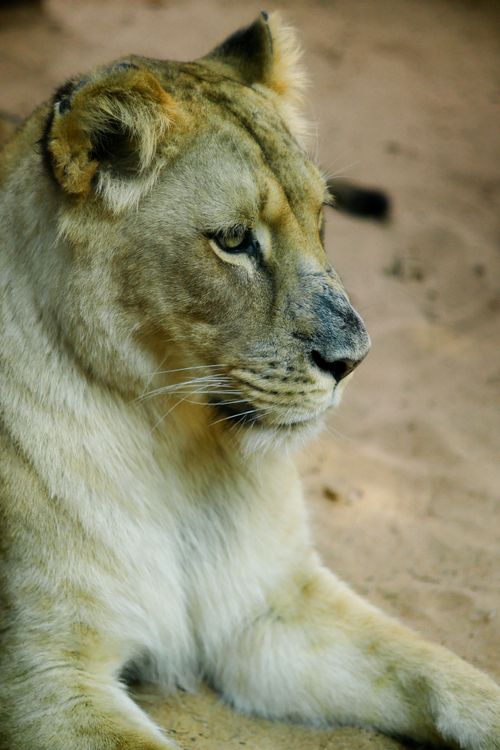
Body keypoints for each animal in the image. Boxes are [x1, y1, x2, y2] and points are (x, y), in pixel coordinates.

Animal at [0, 12, 498, 750]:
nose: (354, 358)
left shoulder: (270, 608)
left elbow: (441, 672)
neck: (174, 453)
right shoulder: (40, 674)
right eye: (234, 240)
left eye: (321, 217)